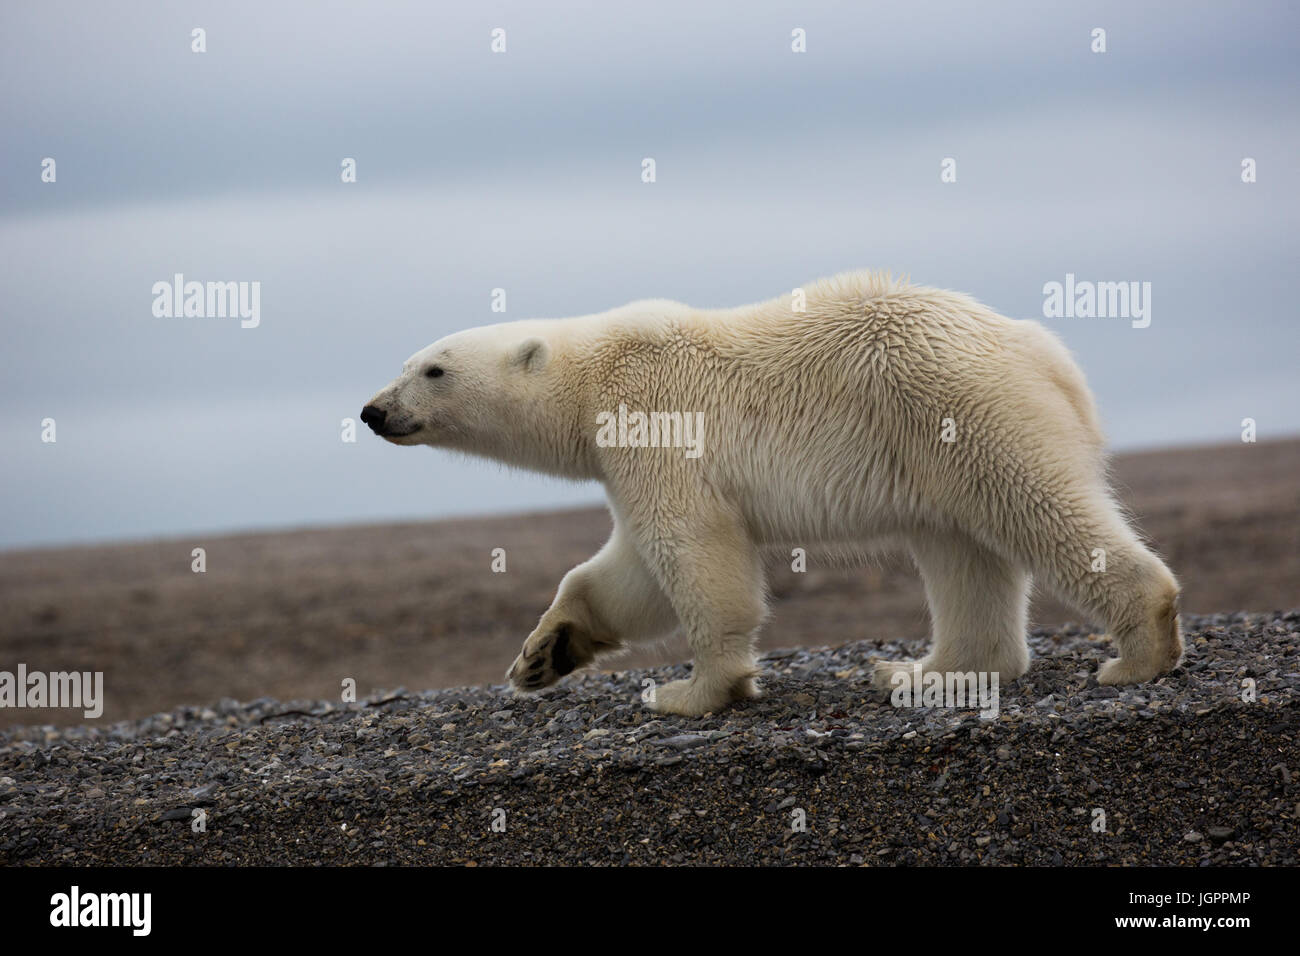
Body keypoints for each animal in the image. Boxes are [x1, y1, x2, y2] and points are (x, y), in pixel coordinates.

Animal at [361, 271, 1182, 717]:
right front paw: (542, 655)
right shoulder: (625, 458)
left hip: (963, 407)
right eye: (404, 364)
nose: (372, 411)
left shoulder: (654, 425)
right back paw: (920, 670)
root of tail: (1045, 351)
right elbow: (627, 573)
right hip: (936, 449)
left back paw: (1137, 651)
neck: (595, 372)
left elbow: (692, 552)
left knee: (1038, 509)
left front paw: (689, 692)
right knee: (961, 551)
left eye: (432, 370)